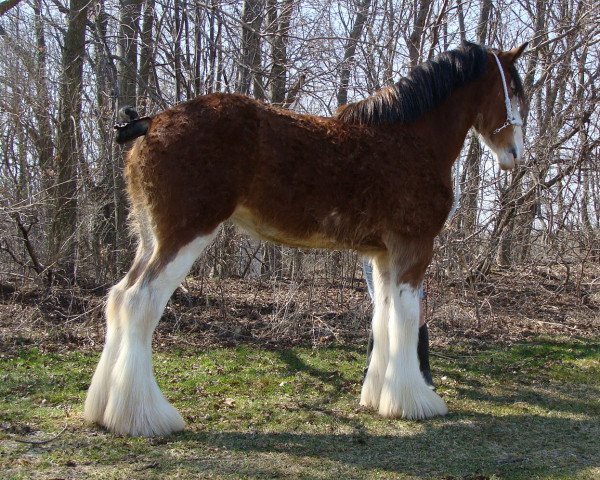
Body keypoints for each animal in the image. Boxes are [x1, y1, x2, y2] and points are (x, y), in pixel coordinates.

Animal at [83, 43, 524, 436]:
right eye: (515, 90)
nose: (515, 154)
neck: (409, 138)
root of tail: (151, 122)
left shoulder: (382, 257)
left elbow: (383, 318)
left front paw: (379, 399)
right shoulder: (412, 249)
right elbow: (405, 319)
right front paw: (414, 402)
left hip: (149, 239)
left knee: (118, 299)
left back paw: (105, 410)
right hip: (183, 236)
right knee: (140, 303)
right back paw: (145, 417)